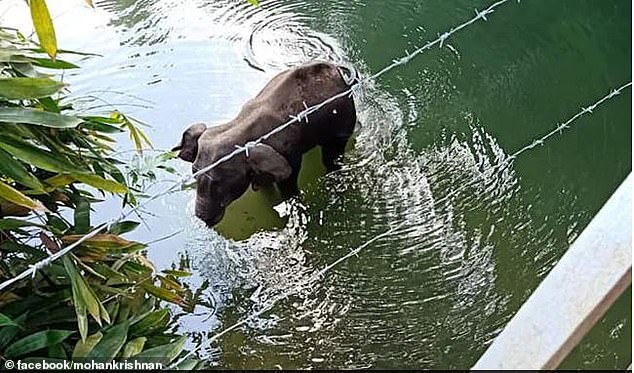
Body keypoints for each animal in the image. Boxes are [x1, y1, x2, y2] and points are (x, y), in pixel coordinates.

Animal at [172, 60, 356, 227]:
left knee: (331, 156)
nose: (202, 218)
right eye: (194, 173)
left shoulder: (289, 155)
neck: (240, 126)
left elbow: (289, 183)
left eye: (219, 182)